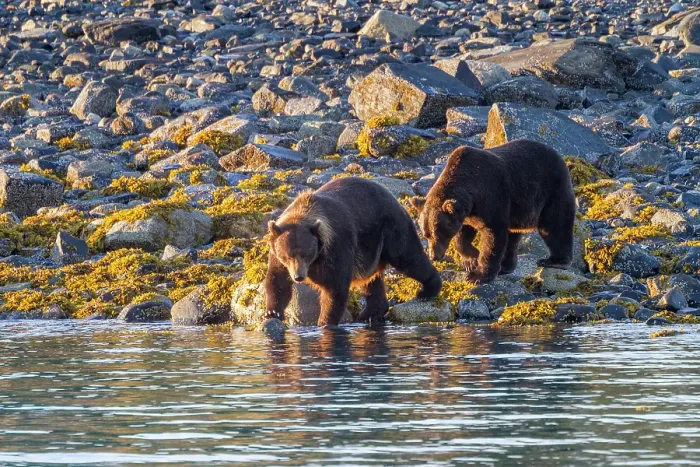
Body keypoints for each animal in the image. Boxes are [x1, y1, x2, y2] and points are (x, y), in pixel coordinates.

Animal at [265, 177, 442, 327]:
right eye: (288, 256)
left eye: (306, 254)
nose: (299, 277)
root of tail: (392, 197)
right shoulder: (277, 255)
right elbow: (277, 281)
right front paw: (272, 313)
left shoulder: (337, 247)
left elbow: (335, 288)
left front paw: (325, 322)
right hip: (370, 253)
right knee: (371, 282)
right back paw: (370, 313)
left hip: (391, 230)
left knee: (409, 258)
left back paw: (427, 290)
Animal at [410, 139, 576, 284]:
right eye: (426, 234)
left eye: (438, 233)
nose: (434, 256)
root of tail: (559, 156)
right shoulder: (468, 213)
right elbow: (463, 235)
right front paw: (471, 260)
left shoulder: (491, 198)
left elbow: (493, 236)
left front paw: (477, 275)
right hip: (518, 210)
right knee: (513, 236)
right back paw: (506, 266)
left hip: (552, 190)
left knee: (554, 225)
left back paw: (554, 260)